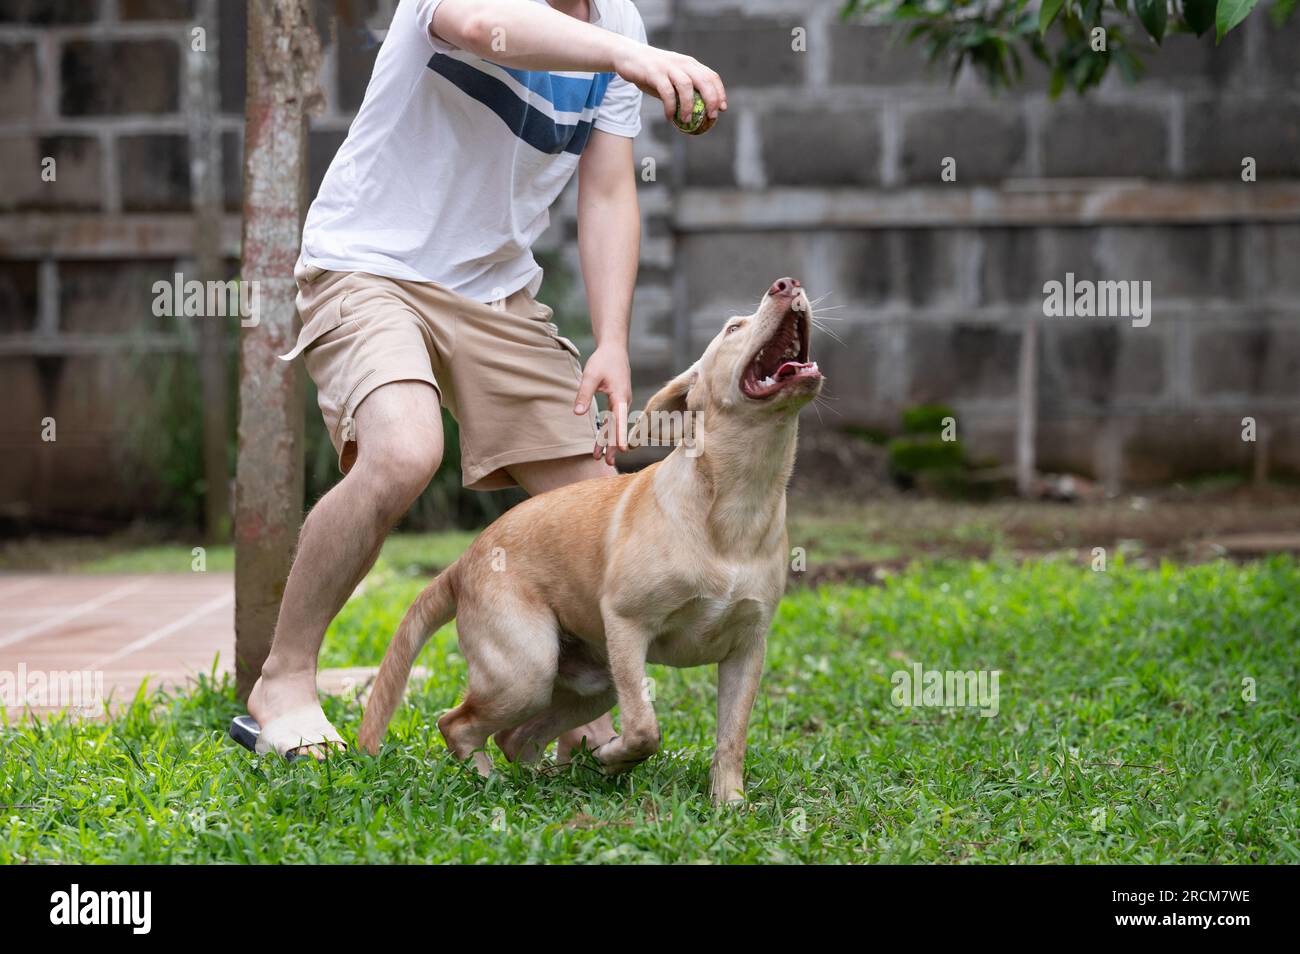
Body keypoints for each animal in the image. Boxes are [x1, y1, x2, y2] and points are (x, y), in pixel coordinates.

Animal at [356, 276, 821, 805]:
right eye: (732, 328)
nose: (787, 284)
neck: (738, 498)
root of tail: (463, 560)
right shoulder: (626, 623)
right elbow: (644, 729)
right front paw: (615, 757)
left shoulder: (748, 648)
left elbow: (732, 738)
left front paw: (729, 803)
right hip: (526, 670)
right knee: (456, 723)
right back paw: (490, 782)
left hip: (591, 682)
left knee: (514, 737)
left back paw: (540, 783)